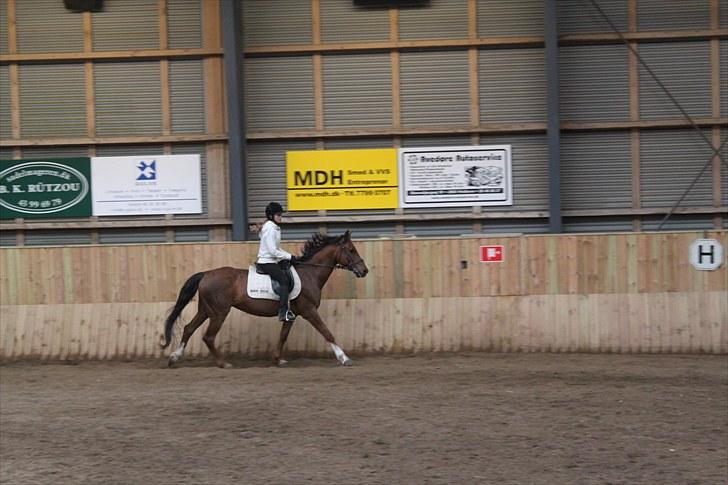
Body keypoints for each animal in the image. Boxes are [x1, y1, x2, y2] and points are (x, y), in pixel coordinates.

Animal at [161, 231, 370, 366]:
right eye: (351, 250)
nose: (364, 271)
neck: (310, 273)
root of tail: (205, 274)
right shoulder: (310, 311)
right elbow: (327, 332)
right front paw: (344, 358)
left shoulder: (292, 314)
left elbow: (283, 336)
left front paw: (278, 359)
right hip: (219, 312)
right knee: (208, 336)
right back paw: (223, 363)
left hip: (206, 310)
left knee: (189, 329)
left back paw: (174, 358)